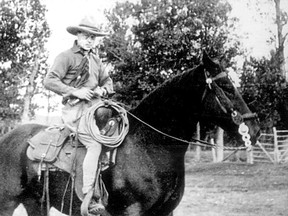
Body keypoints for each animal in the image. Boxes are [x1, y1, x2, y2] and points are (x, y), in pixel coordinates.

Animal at [0, 52, 260, 216]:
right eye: (227, 87)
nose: (254, 129)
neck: (150, 147)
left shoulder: (165, 213)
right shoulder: (131, 212)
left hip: (37, 203)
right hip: (8, 203)